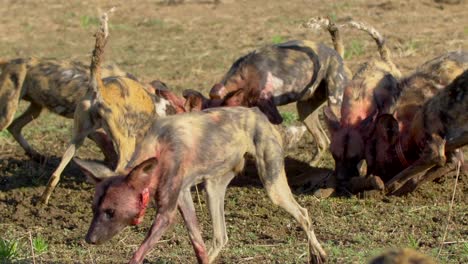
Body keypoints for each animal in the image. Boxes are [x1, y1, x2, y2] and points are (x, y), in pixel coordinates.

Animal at [0, 57, 133, 161]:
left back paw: (35, 155)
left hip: (35, 109)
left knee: (14, 127)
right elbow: (112, 154)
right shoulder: (94, 129)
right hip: (8, 113)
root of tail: (12, 61)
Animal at [39, 11, 176, 204]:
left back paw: (43, 200)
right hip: (126, 145)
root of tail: (100, 89)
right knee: (117, 172)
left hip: (76, 140)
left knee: (55, 174)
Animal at [75, 105, 328, 264]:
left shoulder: (166, 214)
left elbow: (137, 255)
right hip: (212, 189)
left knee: (303, 213)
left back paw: (319, 253)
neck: (157, 147)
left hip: (273, 187)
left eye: (110, 212)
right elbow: (198, 245)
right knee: (220, 237)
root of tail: (258, 113)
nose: (89, 240)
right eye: (94, 210)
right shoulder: (183, 198)